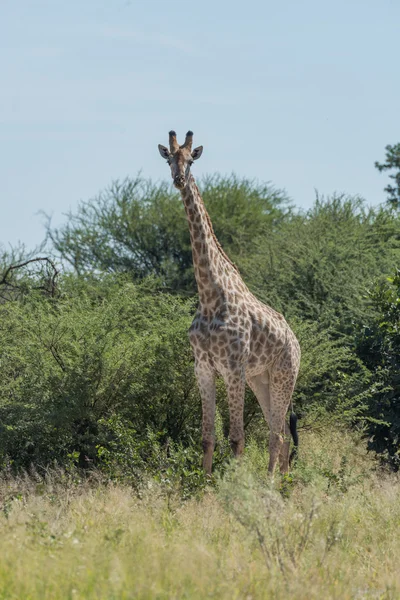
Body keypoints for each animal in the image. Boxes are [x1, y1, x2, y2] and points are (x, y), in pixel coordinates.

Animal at [158, 130, 302, 474]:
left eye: (191, 160)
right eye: (169, 160)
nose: (179, 180)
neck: (210, 297)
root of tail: (296, 341)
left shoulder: (233, 367)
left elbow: (237, 438)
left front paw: (236, 483)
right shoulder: (204, 368)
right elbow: (207, 436)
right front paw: (206, 481)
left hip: (284, 375)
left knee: (277, 433)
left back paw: (271, 481)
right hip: (260, 380)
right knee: (280, 431)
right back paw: (285, 480)